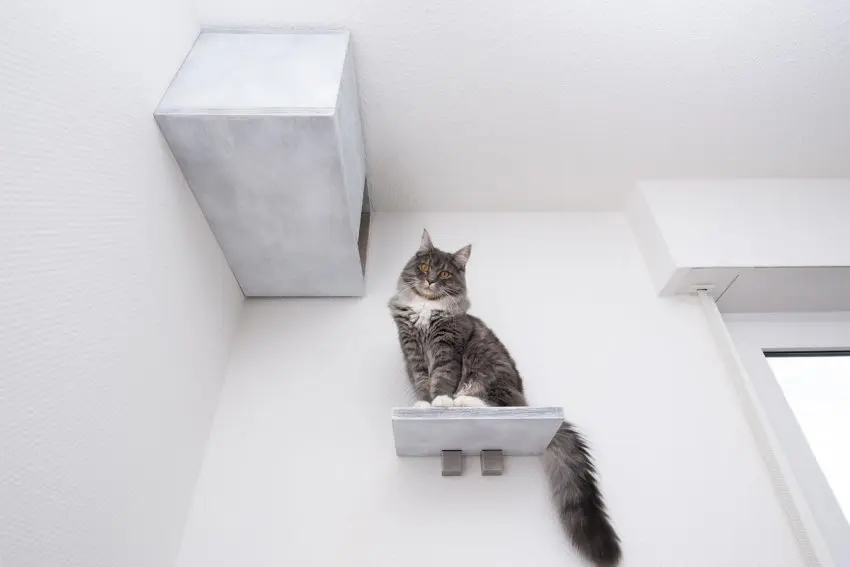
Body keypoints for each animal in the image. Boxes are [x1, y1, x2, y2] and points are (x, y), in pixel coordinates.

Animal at [388, 229, 620, 564]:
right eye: (424, 267)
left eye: (444, 274)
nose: (430, 281)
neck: (425, 307)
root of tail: (528, 401)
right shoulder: (412, 352)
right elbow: (421, 382)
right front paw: (423, 405)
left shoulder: (448, 348)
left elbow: (442, 379)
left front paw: (440, 401)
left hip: (490, 372)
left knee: (495, 402)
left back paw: (461, 402)